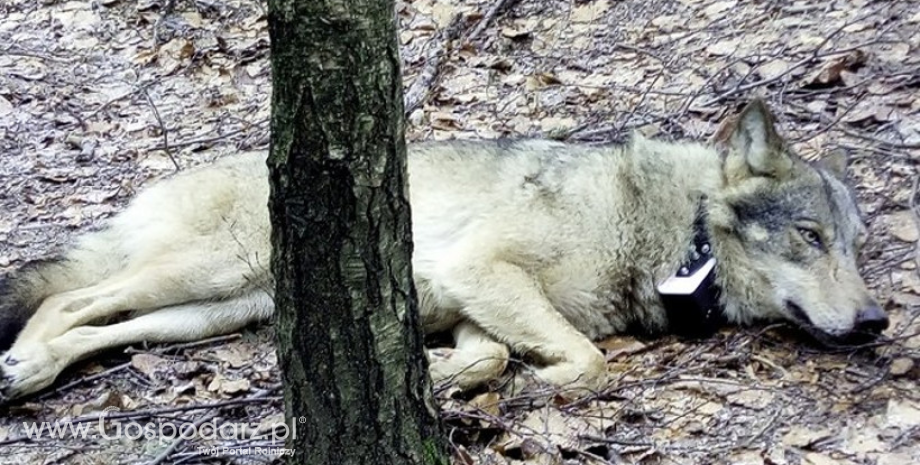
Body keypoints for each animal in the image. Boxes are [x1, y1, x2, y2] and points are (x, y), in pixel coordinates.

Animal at [1, 100, 892, 398]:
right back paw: (24, 364)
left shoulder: (471, 302)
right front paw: (534, 378)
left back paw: (35, 368)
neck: (674, 234)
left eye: (855, 245)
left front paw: (438, 374)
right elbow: (587, 360)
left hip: (208, 312)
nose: (878, 321)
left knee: (101, 324)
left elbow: (494, 354)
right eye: (810, 237)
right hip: (202, 275)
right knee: (68, 295)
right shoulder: (480, 270)